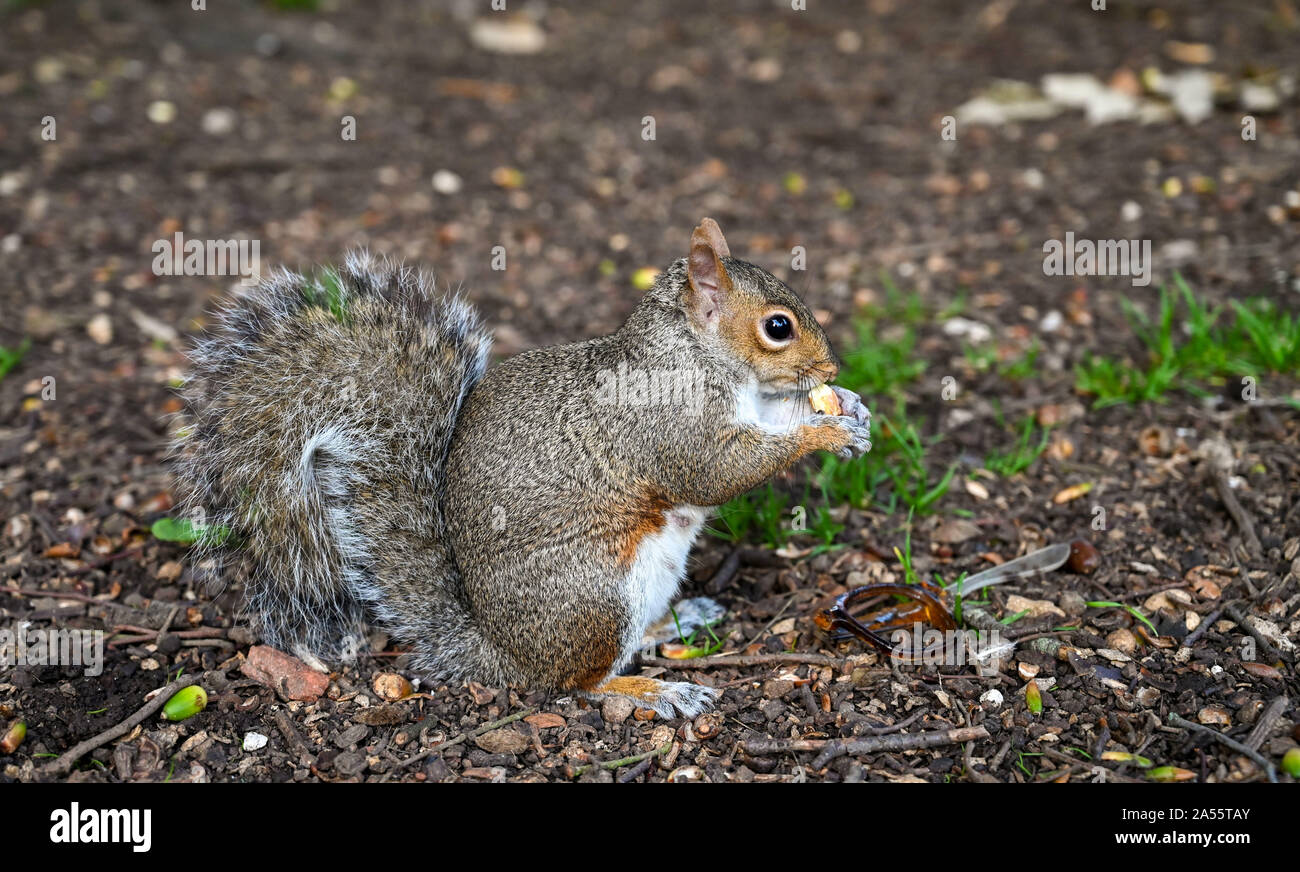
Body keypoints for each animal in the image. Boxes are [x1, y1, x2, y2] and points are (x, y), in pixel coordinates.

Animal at [171, 218, 872, 717]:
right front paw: (824, 428)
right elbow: (716, 471)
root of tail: (499, 653)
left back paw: (678, 621)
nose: (833, 369)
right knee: (577, 683)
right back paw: (652, 691)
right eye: (777, 327)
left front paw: (849, 408)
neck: (697, 353)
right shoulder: (671, 423)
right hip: (594, 595)